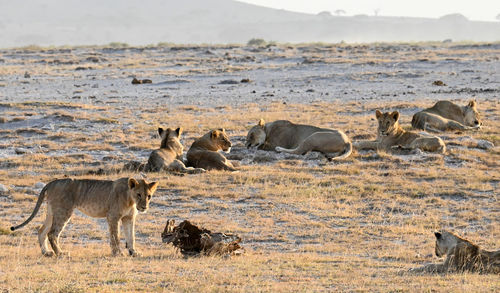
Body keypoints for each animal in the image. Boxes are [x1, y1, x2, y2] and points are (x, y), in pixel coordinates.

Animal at [10, 176, 158, 256]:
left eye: (149, 196)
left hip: (52, 211)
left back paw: (46, 253)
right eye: (139, 194)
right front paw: (118, 253)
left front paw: (134, 252)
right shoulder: (113, 216)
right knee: (52, 233)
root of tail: (52, 182)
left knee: (41, 230)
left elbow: (131, 236)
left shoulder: (129, 218)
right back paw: (61, 254)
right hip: (63, 211)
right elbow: (115, 236)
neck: (130, 200)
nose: (144, 207)